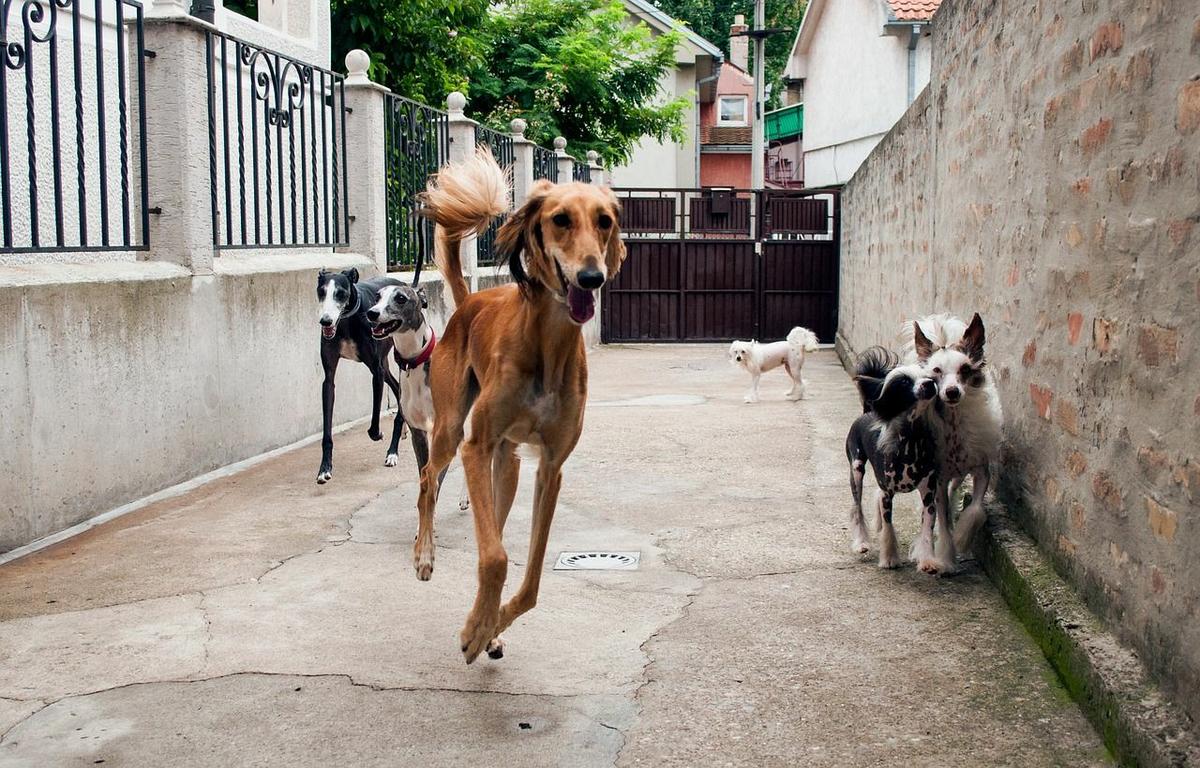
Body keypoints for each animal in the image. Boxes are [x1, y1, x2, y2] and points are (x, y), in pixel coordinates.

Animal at [316, 266, 410, 482]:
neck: (347, 320)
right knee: (396, 386)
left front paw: (379, 435)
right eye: (321, 292)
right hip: (386, 364)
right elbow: (327, 429)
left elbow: (374, 424)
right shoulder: (329, 378)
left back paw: (392, 452)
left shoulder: (376, 372)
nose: (325, 321)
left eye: (340, 293)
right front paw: (325, 468)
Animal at [415, 147, 624, 662]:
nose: (591, 277)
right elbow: (494, 557)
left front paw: (490, 626)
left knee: (493, 513)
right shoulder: (476, 445)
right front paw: (475, 631)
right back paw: (424, 555)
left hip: (505, 463)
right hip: (451, 429)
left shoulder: (551, 466)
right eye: (560, 219)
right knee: (428, 477)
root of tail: (470, 301)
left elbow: (529, 580)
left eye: (605, 220)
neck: (547, 345)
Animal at [849, 345, 950, 573]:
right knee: (857, 507)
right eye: (904, 382)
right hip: (856, 469)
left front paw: (928, 560)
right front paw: (889, 558)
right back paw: (861, 543)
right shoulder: (888, 493)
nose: (929, 383)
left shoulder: (929, 493)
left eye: (928, 375)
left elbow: (927, 528)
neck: (911, 441)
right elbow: (888, 527)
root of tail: (867, 411)